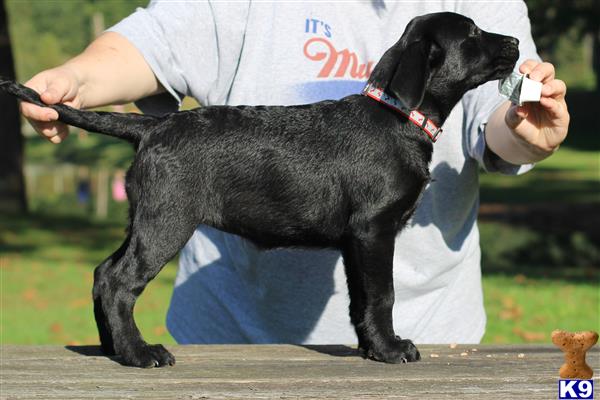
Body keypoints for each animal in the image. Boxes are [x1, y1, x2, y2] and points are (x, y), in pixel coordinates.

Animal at [0, 11, 516, 368]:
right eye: (471, 33)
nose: (514, 41)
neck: (395, 117)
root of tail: (151, 126)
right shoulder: (374, 230)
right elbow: (382, 294)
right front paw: (391, 349)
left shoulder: (355, 240)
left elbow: (360, 299)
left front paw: (372, 348)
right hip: (168, 220)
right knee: (119, 281)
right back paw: (139, 353)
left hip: (147, 217)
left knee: (102, 272)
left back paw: (113, 346)